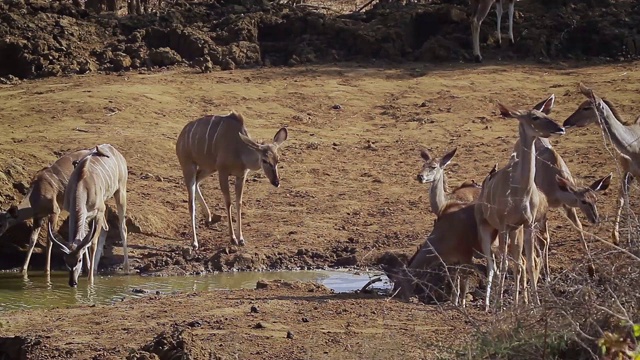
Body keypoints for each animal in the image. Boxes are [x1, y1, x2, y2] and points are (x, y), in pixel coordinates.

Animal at [48, 143, 129, 286]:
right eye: (66, 261)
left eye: (79, 260)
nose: (72, 282)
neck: (81, 183)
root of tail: (116, 151)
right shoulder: (78, 214)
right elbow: (83, 242)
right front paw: (88, 271)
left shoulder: (99, 212)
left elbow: (92, 244)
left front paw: (90, 280)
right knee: (106, 228)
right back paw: (95, 268)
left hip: (120, 192)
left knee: (122, 228)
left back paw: (126, 268)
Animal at [174, 111, 286, 249]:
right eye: (264, 160)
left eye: (278, 159)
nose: (276, 182)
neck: (239, 150)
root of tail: (181, 137)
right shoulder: (223, 172)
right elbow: (228, 203)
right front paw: (233, 239)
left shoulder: (241, 176)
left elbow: (239, 203)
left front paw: (241, 239)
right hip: (188, 166)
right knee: (191, 202)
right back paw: (195, 242)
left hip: (209, 167)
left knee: (197, 181)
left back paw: (208, 216)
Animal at [476, 94, 564, 310]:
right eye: (534, 117)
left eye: (544, 113)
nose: (560, 128)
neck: (520, 191)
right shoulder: (504, 225)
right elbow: (505, 264)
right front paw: (499, 305)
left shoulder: (527, 224)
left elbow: (529, 263)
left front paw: (534, 303)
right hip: (490, 229)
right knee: (494, 264)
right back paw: (490, 303)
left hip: (516, 231)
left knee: (518, 262)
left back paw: (518, 302)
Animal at [564, 82, 640, 245]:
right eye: (579, 105)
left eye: (586, 107)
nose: (566, 122)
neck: (632, 145)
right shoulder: (628, 171)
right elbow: (621, 198)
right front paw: (616, 237)